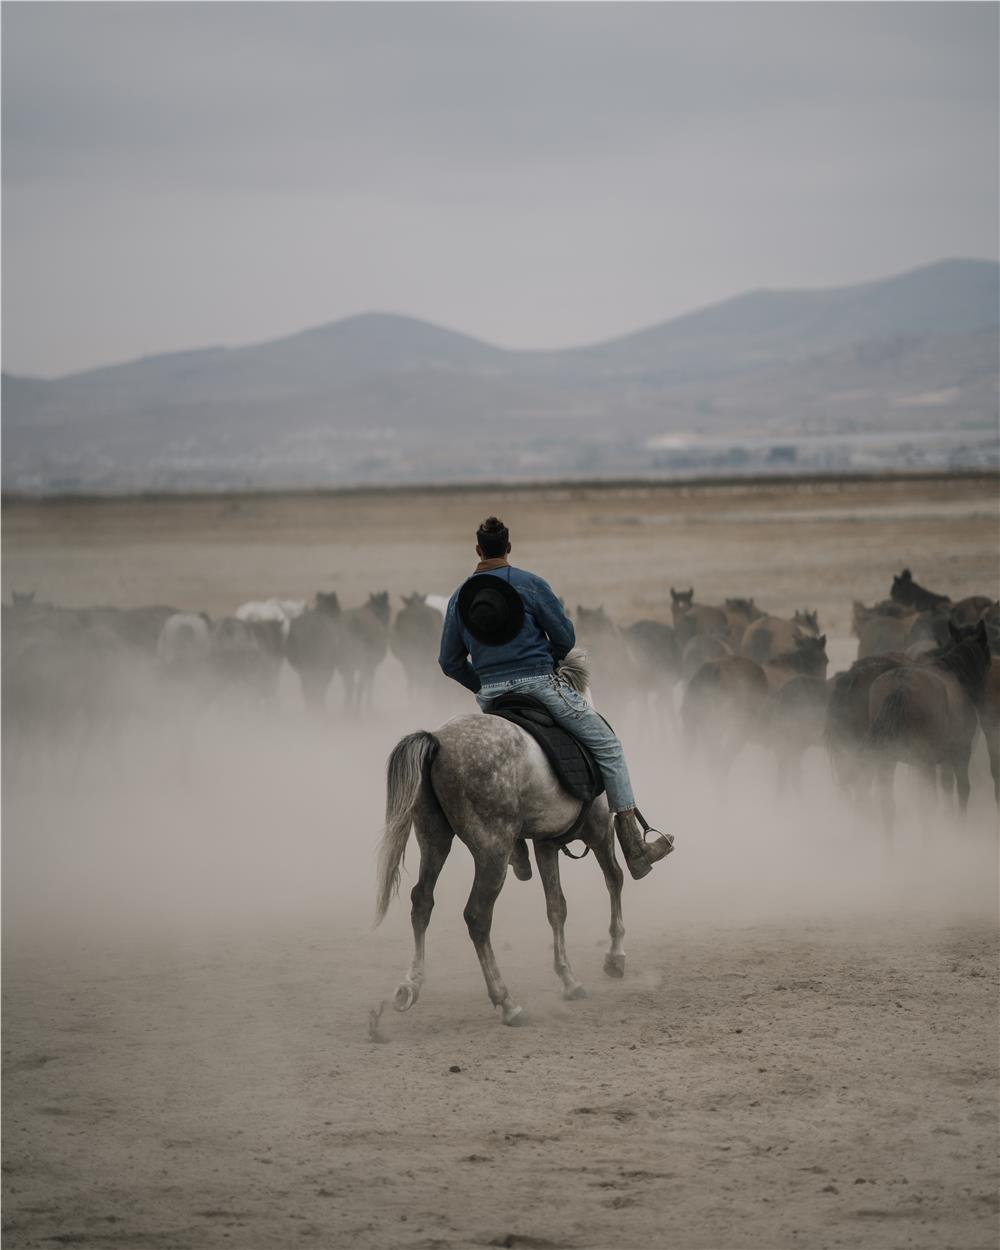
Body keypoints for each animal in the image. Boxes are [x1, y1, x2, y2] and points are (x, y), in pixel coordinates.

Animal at [370, 655, 670, 1025]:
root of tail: (438, 742)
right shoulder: (600, 831)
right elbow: (614, 879)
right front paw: (615, 958)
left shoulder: (546, 844)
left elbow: (556, 907)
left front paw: (569, 980)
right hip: (492, 851)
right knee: (477, 916)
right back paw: (506, 1001)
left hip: (433, 838)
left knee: (422, 901)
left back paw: (410, 986)